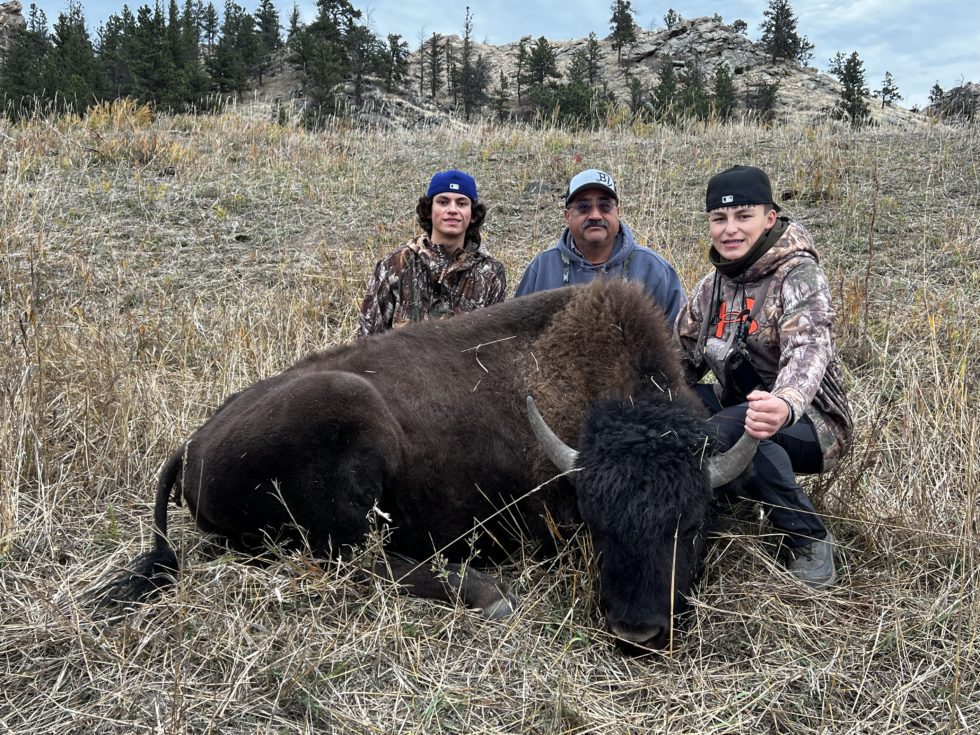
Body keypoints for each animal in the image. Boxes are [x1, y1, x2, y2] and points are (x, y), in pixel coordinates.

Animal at [94, 279, 756, 648]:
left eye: (692, 524)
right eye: (598, 524)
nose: (637, 630)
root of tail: (192, 443)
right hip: (352, 434)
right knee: (359, 561)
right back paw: (491, 594)